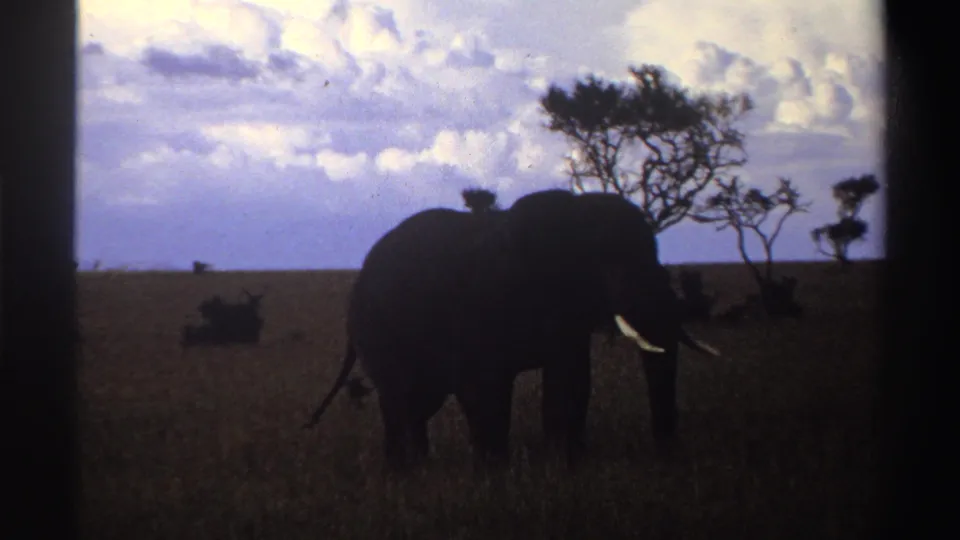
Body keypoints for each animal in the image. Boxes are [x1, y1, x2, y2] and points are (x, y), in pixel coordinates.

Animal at [302, 189, 720, 470]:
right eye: (608, 262)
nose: (668, 453)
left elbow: (571, 380)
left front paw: (569, 464)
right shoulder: (482, 298)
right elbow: (484, 386)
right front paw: (494, 473)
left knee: (417, 401)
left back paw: (414, 469)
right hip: (377, 328)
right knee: (402, 398)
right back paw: (405, 473)